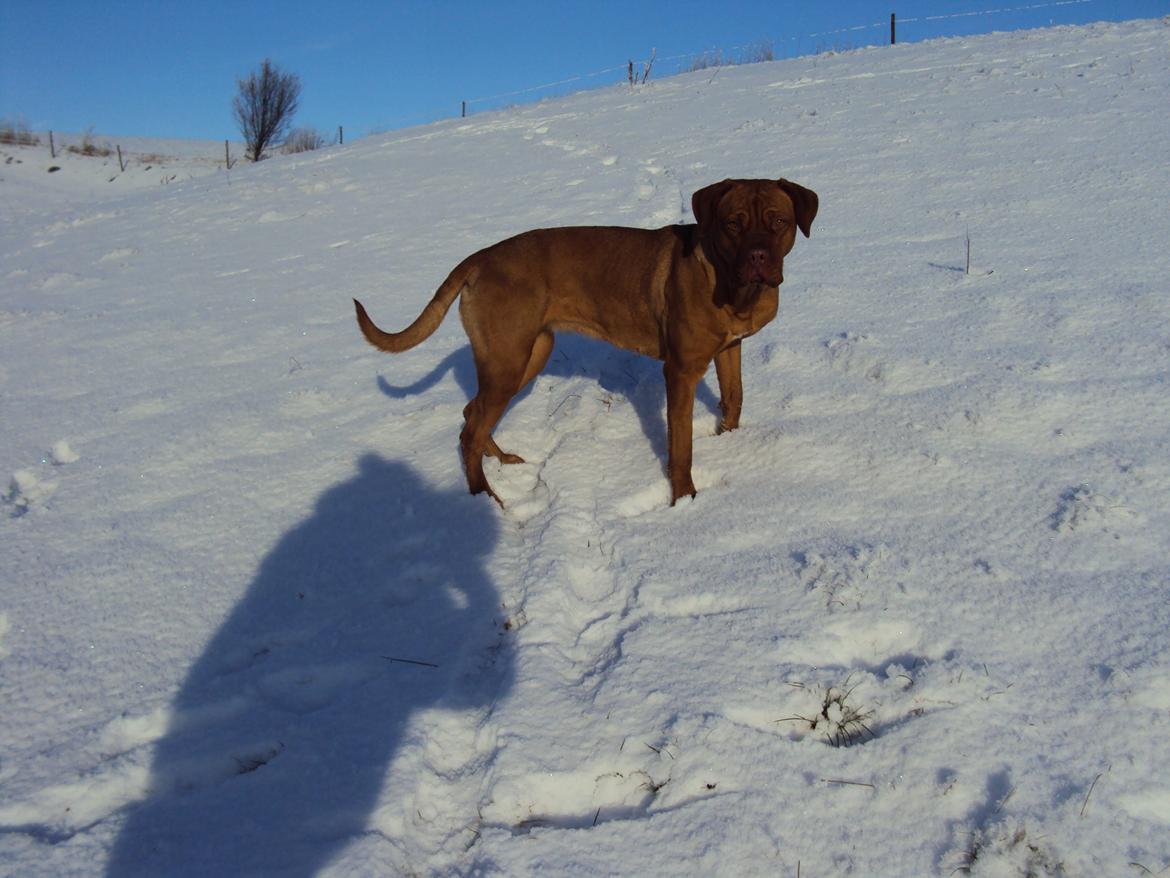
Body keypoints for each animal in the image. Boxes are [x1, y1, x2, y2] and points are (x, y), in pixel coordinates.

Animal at [351, 176, 819, 508]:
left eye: (779, 222)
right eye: (733, 223)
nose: (758, 257)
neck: (731, 284)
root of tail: (478, 258)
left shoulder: (729, 349)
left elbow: (734, 398)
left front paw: (730, 445)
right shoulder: (681, 370)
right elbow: (680, 445)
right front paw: (685, 498)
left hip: (529, 353)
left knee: (473, 415)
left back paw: (502, 462)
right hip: (508, 359)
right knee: (470, 430)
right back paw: (486, 496)